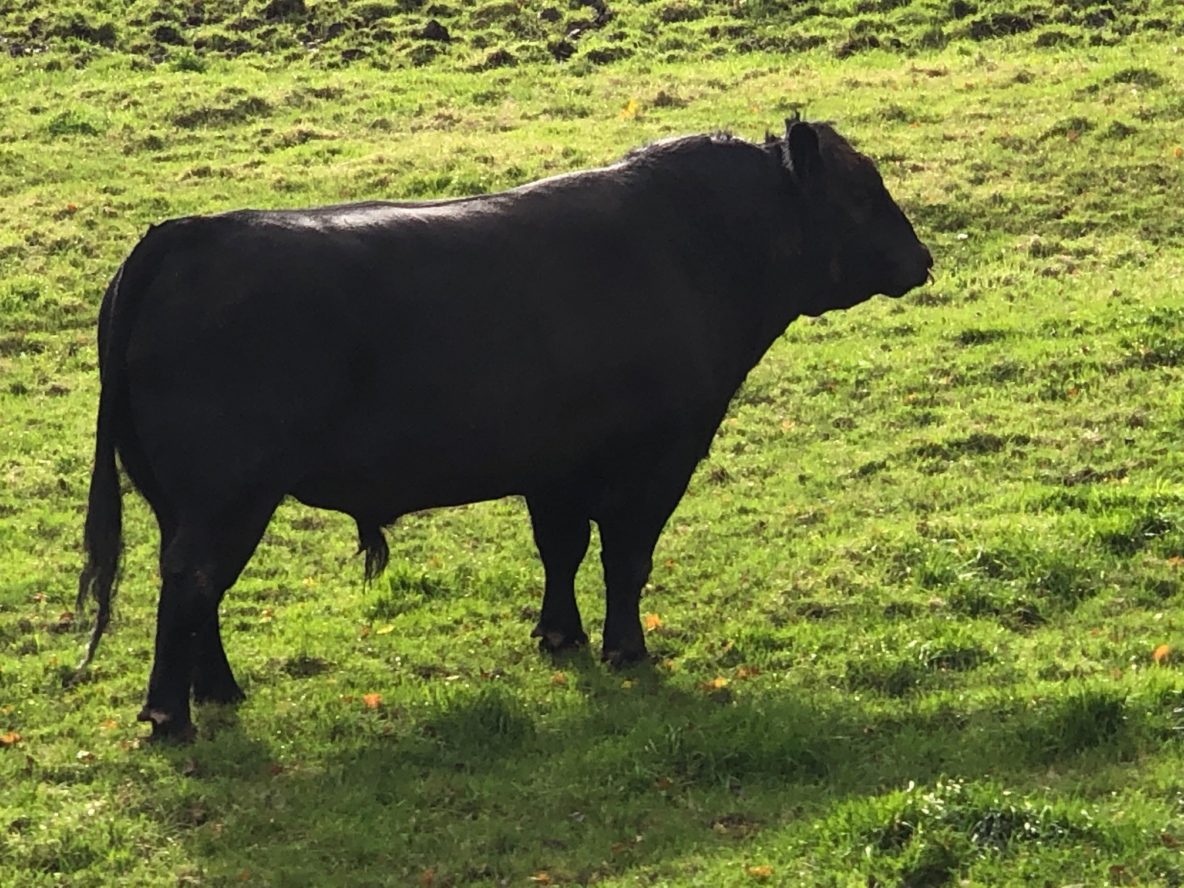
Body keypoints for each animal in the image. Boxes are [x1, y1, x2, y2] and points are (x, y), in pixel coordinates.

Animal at [75, 117, 932, 741]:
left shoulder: (555, 463)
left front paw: (560, 637)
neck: (699, 251)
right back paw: (172, 717)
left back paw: (219, 692)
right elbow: (626, 557)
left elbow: (562, 548)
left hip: (187, 497)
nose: (921, 257)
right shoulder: (660, 455)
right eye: (862, 192)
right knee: (191, 582)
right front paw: (627, 650)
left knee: (196, 590)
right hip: (229, 493)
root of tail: (186, 233)